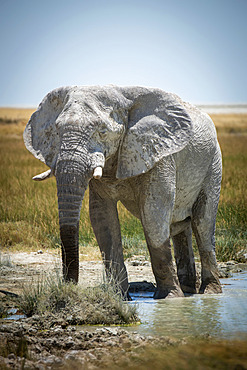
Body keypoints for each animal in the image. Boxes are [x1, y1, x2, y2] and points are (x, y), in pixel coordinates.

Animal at [23, 85, 223, 300]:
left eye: (102, 132)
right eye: (57, 131)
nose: (69, 287)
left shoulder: (159, 154)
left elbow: (153, 214)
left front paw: (168, 298)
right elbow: (103, 218)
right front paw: (119, 297)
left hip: (213, 163)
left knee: (202, 224)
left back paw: (210, 292)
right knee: (180, 226)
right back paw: (187, 289)